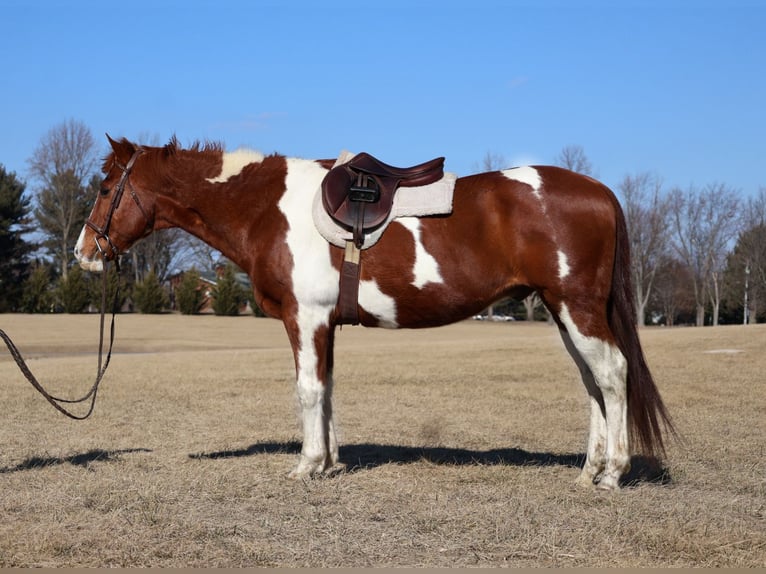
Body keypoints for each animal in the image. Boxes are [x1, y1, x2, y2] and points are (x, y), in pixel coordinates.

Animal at [75, 135, 676, 490]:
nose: (84, 253)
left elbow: (308, 389)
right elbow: (327, 389)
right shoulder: (324, 323)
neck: (269, 207)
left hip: (578, 308)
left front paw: (306, 466)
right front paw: (330, 461)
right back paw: (588, 471)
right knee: (593, 382)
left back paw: (612, 474)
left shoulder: (305, 318)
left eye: (105, 187)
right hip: (564, 311)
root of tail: (598, 190)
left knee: (613, 375)